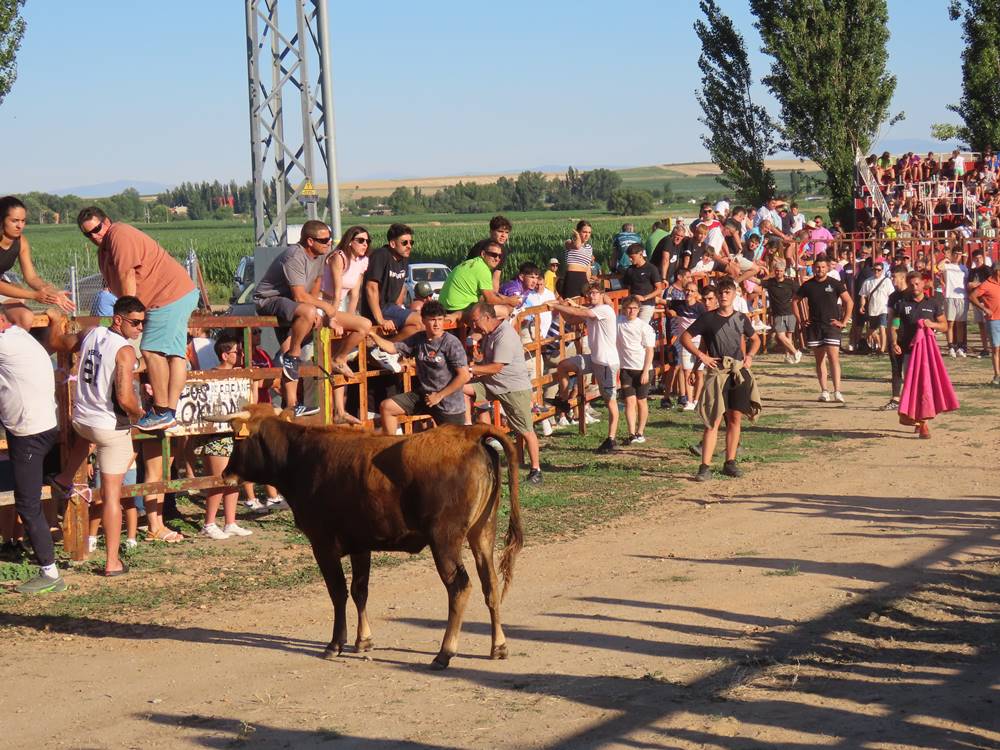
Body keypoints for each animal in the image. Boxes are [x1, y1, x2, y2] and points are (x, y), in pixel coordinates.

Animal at [217, 408, 524, 672]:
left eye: (237, 440)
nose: (225, 473)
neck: (300, 457)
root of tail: (469, 434)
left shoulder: (323, 545)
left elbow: (338, 593)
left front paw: (335, 644)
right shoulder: (360, 545)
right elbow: (359, 590)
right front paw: (363, 640)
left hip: (444, 540)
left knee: (460, 587)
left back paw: (445, 653)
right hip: (482, 532)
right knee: (490, 583)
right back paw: (498, 646)